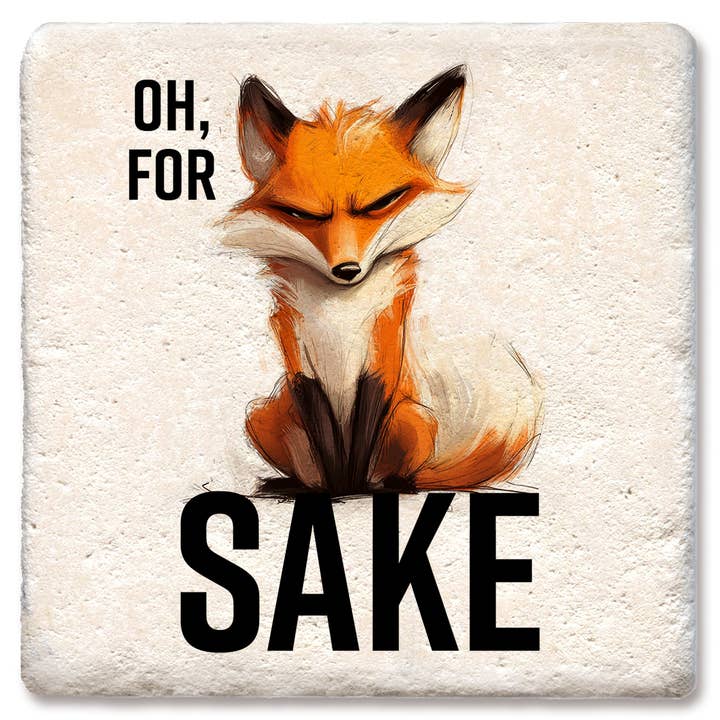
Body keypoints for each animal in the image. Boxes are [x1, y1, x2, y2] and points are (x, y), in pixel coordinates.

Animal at [221, 65, 543, 496]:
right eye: (302, 214)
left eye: (380, 203)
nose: (347, 269)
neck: (340, 314)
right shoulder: (300, 365)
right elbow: (327, 445)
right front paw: (334, 489)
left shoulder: (380, 356)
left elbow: (361, 441)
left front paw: (352, 489)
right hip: (262, 414)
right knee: (302, 463)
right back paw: (292, 485)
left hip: (412, 420)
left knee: (406, 472)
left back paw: (391, 485)